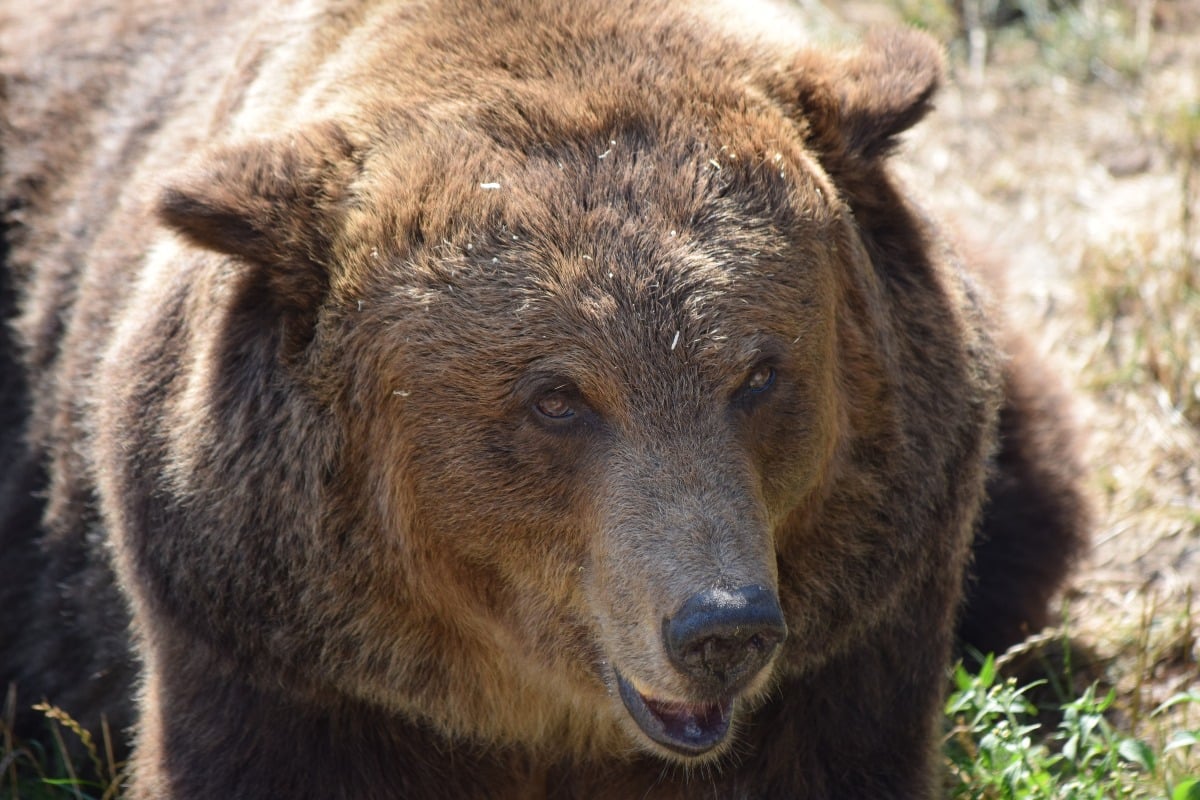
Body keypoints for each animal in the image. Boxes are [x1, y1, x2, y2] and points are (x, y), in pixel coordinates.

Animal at [0, 0, 1088, 797]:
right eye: (558, 399)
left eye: (759, 372)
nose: (721, 627)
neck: (545, 717)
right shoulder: (282, 657)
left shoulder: (851, 644)